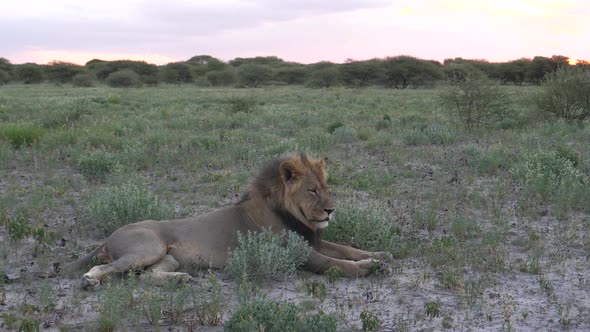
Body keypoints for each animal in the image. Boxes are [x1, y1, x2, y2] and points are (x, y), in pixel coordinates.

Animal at [66, 154, 394, 288]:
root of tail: (107, 237)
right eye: (312, 190)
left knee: (145, 277)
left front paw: (380, 254)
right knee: (106, 268)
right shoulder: (300, 253)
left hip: (167, 258)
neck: (290, 213)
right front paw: (372, 267)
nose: (331, 210)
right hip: (147, 248)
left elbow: (346, 248)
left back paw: (181, 279)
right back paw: (89, 280)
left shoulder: (312, 240)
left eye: (327, 188)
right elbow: (338, 263)